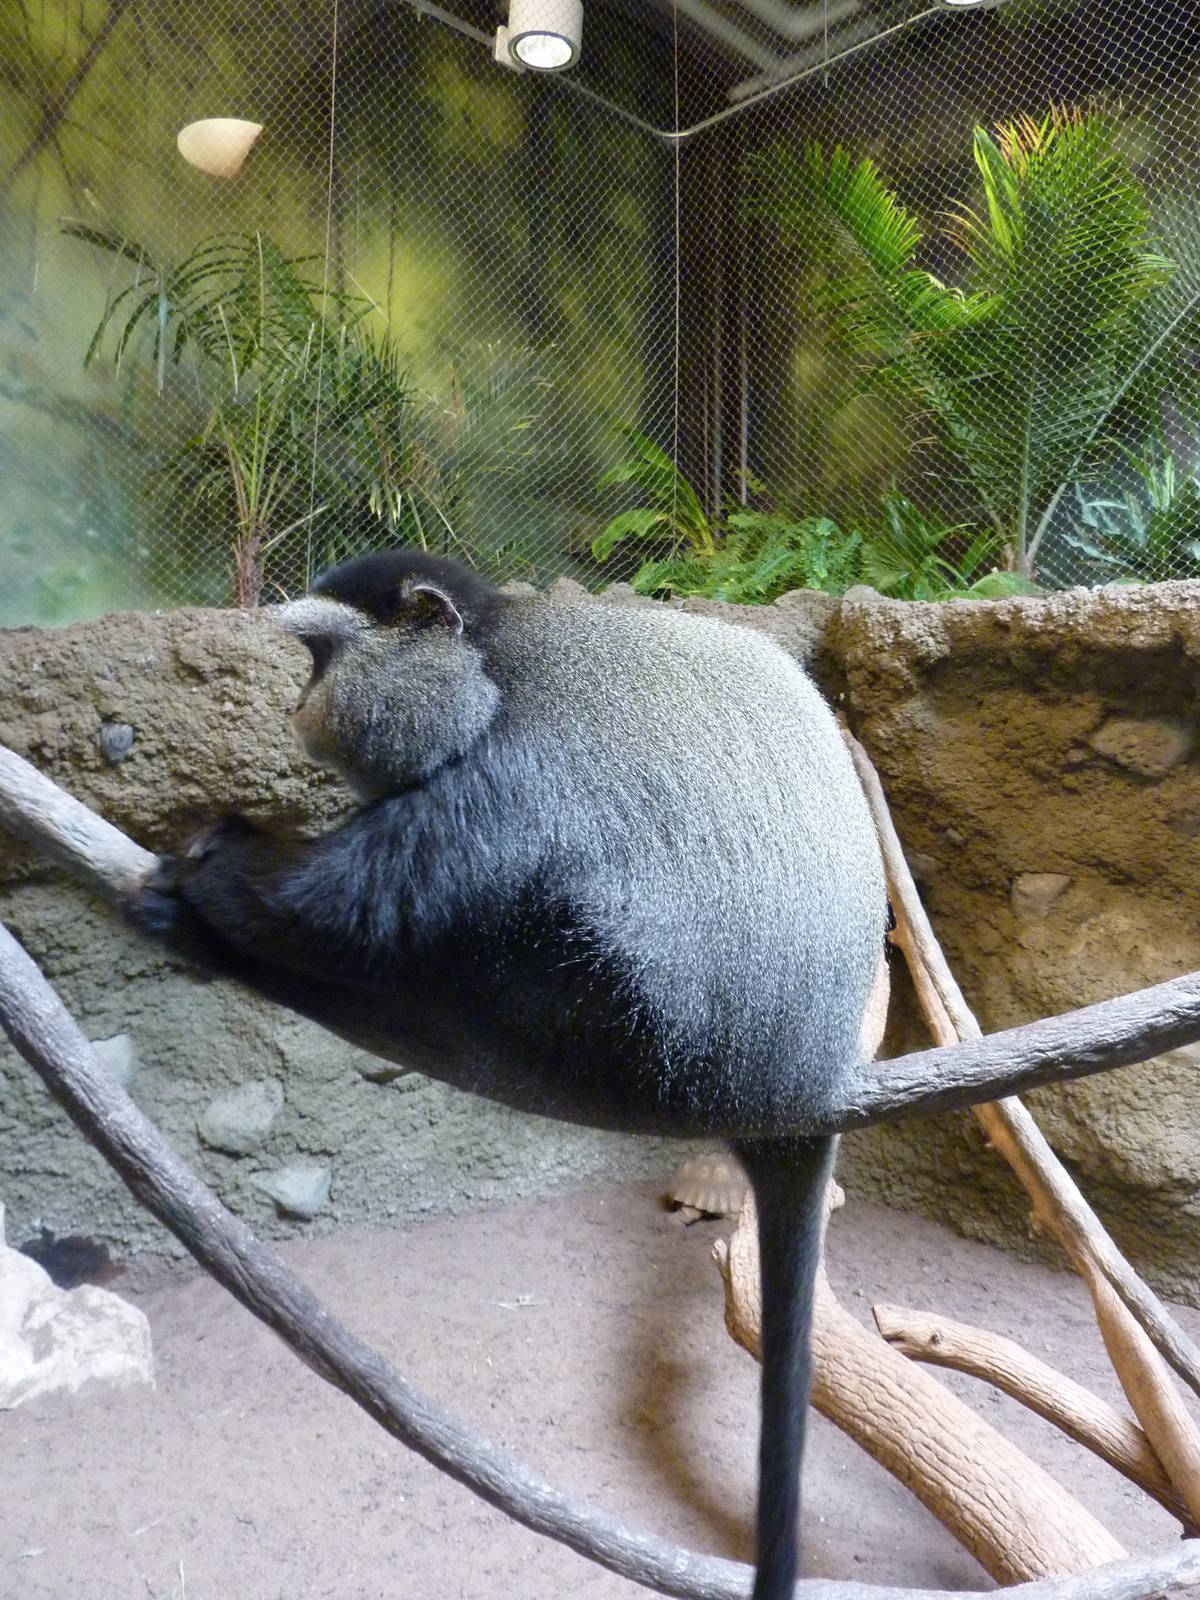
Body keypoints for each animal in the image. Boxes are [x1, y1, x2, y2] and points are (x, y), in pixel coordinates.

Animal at [129, 548, 887, 1600]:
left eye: (321, 657)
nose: (295, 708)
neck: (491, 665)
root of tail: (799, 1089)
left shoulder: (515, 776)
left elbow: (359, 904)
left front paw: (225, 874)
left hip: (629, 1020)